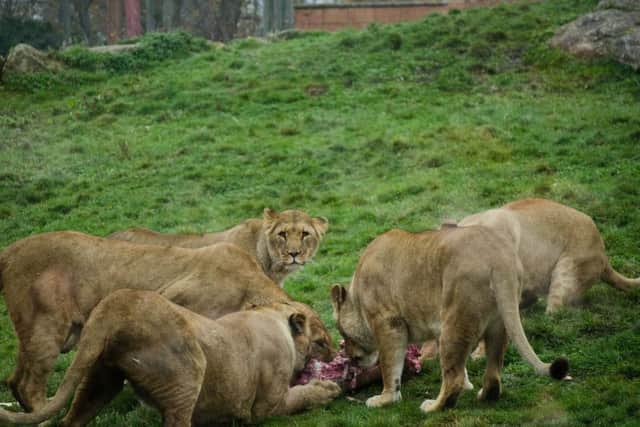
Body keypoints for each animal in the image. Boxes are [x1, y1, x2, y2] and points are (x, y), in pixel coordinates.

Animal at [0, 232, 334, 412]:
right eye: (321, 342)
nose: (334, 357)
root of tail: (8, 251)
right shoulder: (173, 301)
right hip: (46, 329)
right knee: (28, 385)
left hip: (34, 334)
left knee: (15, 380)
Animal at [0, 290, 342, 426]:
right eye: (321, 341)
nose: (334, 351)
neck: (273, 315)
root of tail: (113, 309)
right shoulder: (265, 407)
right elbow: (300, 396)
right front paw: (328, 389)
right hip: (188, 374)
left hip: (99, 378)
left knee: (71, 420)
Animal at [331, 225, 569, 413]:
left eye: (342, 334)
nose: (348, 356)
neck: (358, 297)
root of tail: (499, 257)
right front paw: (469, 386)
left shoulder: (388, 324)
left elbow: (389, 367)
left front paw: (385, 399)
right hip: (497, 324)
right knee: (492, 374)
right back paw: (483, 395)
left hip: (455, 322)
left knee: (453, 380)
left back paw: (432, 407)